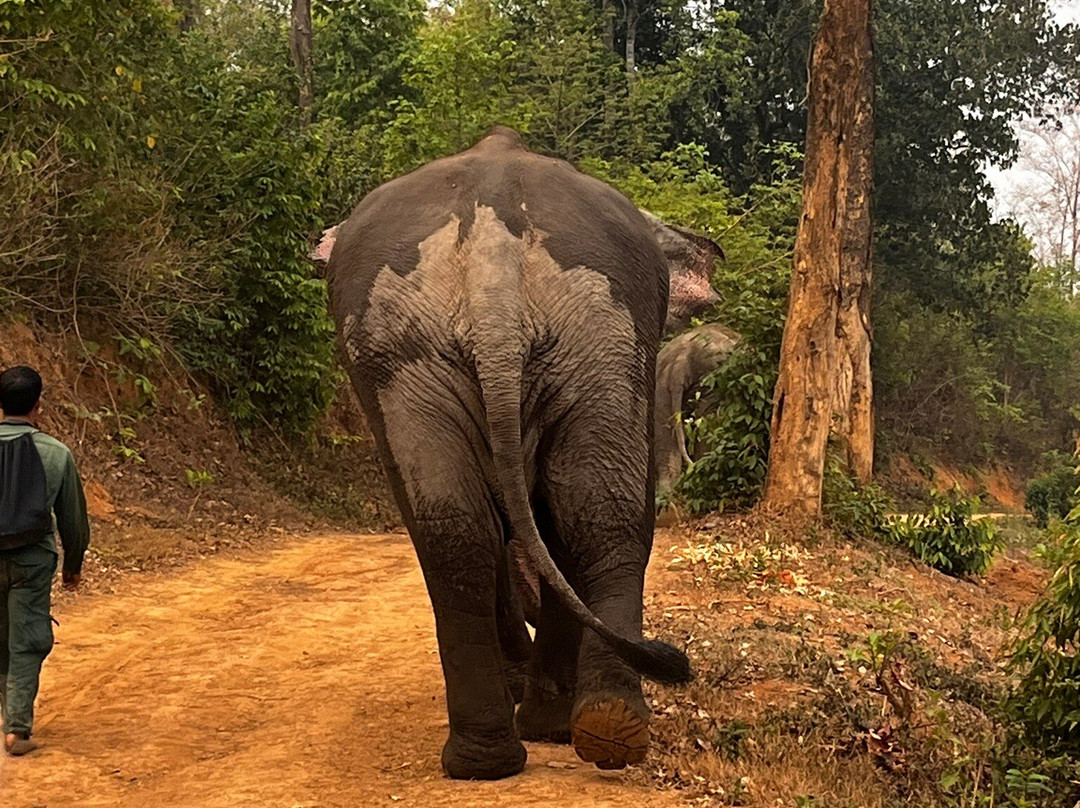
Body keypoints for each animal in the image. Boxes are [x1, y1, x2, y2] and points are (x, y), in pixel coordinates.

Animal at [326, 127, 696, 781]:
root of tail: (492, 243)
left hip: (444, 350)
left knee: (463, 531)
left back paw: (506, 750)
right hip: (585, 336)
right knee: (592, 513)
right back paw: (582, 733)